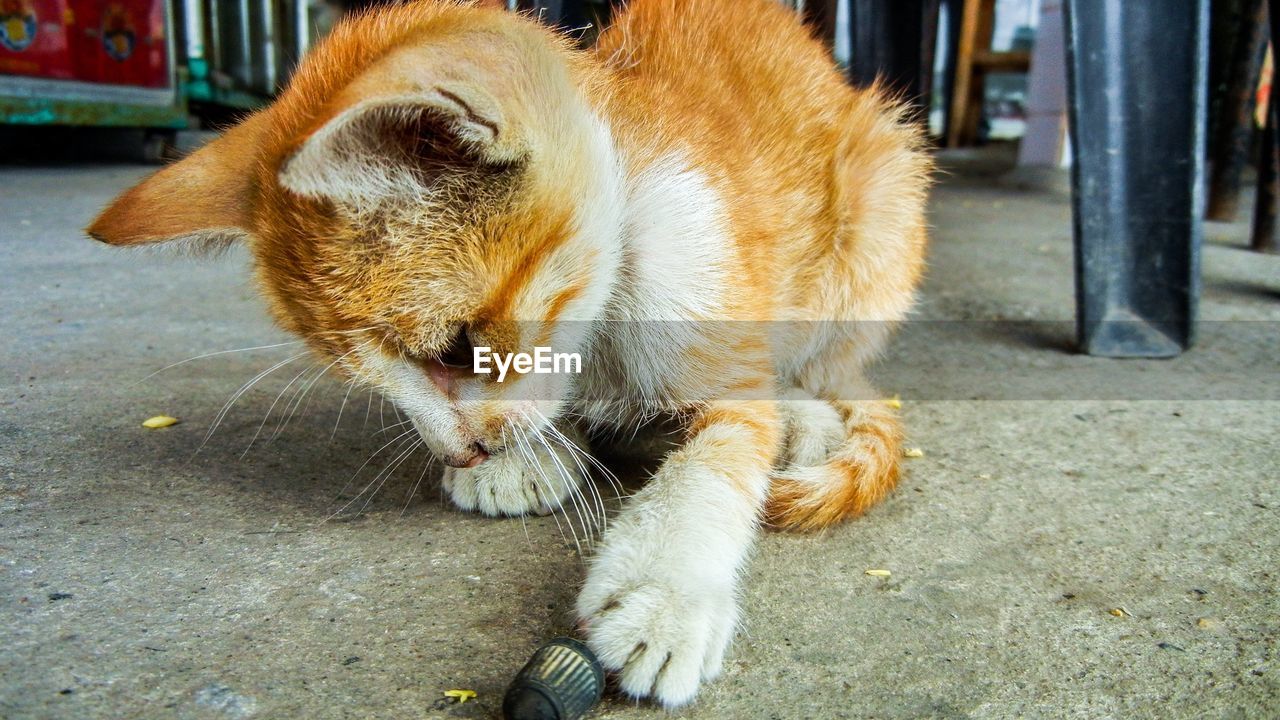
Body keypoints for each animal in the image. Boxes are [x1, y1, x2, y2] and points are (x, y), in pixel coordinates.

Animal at [90, 0, 931, 707]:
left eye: (457, 347)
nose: (458, 452)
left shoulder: (716, 307)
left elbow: (723, 452)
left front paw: (664, 591)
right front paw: (531, 455)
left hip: (881, 193)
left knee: (823, 365)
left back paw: (807, 419)